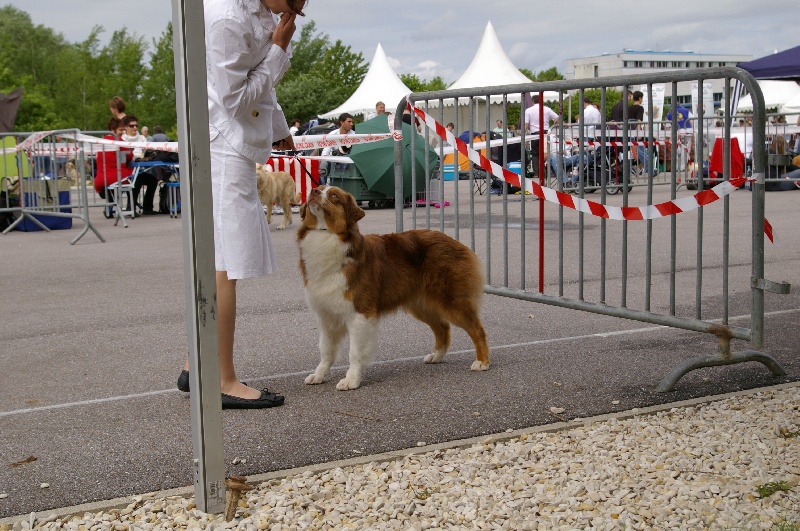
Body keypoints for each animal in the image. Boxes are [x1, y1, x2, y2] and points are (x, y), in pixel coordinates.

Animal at [296, 186, 490, 390]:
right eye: (317, 189)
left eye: (334, 195)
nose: (313, 191)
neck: (326, 236)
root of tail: (455, 241)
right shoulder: (326, 315)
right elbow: (325, 349)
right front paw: (319, 375)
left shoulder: (360, 313)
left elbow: (355, 352)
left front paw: (351, 380)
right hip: (420, 305)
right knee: (443, 327)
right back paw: (437, 356)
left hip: (451, 300)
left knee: (477, 329)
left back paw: (482, 362)